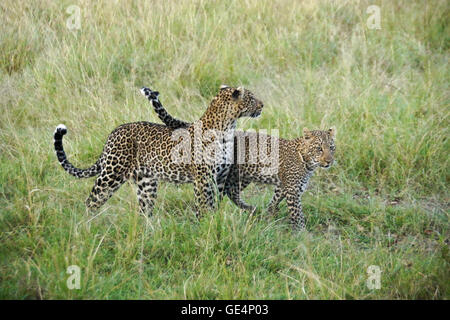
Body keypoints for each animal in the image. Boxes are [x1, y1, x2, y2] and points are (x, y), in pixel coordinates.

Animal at [53, 85, 264, 218]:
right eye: (252, 98)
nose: (262, 105)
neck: (227, 128)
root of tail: (113, 133)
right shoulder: (203, 179)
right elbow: (204, 204)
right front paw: (205, 225)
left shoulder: (220, 178)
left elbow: (215, 205)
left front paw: (215, 222)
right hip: (112, 174)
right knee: (91, 201)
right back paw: (87, 225)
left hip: (146, 183)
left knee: (144, 211)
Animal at [142, 87, 336, 230]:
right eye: (319, 149)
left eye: (332, 148)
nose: (329, 161)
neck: (307, 161)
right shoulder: (292, 190)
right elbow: (297, 215)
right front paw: (302, 234)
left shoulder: (284, 187)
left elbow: (275, 201)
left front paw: (270, 214)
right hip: (235, 176)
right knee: (229, 193)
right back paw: (249, 210)